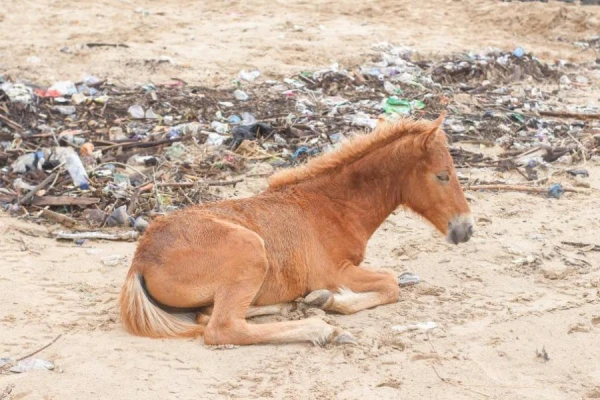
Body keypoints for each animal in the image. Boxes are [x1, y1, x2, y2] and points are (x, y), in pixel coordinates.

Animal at [118, 113, 474, 346]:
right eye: (442, 175)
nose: (466, 228)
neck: (333, 206)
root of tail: (140, 260)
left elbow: (394, 280)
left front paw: (324, 300)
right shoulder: (333, 271)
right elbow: (391, 283)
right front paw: (334, 302)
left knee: (209, 314)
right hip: (250, 251)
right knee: (221, 327)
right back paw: (323, 329)